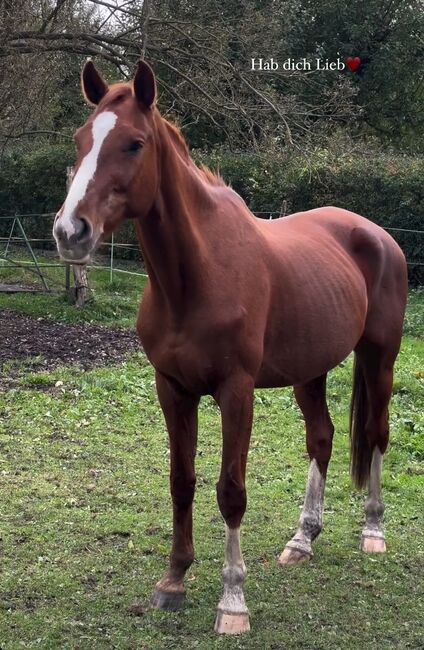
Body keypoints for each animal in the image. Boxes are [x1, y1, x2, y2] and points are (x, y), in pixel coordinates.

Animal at [52, 58, 408, 632]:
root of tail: (378, 235)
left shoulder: (236, 393)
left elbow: (231, 492)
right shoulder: (172, 389)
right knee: (323, 438)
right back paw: (302, 539)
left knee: (375, 433)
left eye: (133, 143)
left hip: (380, 357)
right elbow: (181, 480)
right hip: (309, 370)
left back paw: (373, 531)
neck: (196, 276)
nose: (70, 231)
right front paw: (173, 580)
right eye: (80, 140)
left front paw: (232, 600)